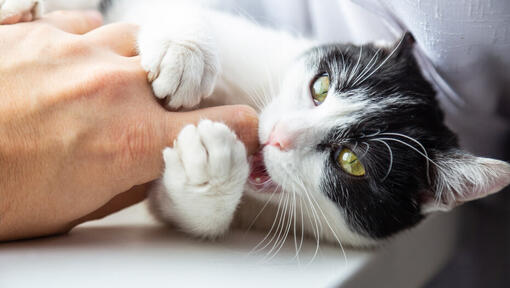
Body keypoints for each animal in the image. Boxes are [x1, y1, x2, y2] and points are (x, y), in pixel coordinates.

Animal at [4, 0, 510, 248]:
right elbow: (170, 7)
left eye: (352, 162)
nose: (279, 137)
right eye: (321, 87)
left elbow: (175, 210)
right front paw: (185, 50)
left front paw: (208, 172)